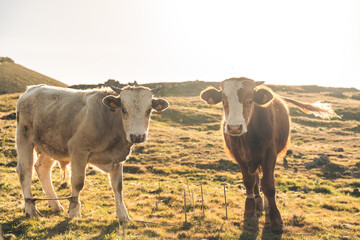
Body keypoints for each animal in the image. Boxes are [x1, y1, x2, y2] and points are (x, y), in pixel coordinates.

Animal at [15, 83, 169, 222]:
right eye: (124, 109)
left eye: (149, 110)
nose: (137, 136)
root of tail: (32, 89)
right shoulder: (78, 149)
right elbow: (78, 182)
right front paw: (74, 212)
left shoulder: (118, 158)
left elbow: (118, 186)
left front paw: (123, 215)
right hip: (24, 138)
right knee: (25, 171)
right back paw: (31, 209)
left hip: (51, 145)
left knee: (42, 168)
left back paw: (55, 205)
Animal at [200, 77, 338, 231]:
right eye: (224, 101)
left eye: (250, 101)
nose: (234, 128)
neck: (247, 138)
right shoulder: (240, 157)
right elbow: (249, 182)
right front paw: (249, 209)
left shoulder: (269, 154)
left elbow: (268, 185)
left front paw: (276, 218)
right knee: (255, 178)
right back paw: (258, 200)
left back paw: (264, 202)